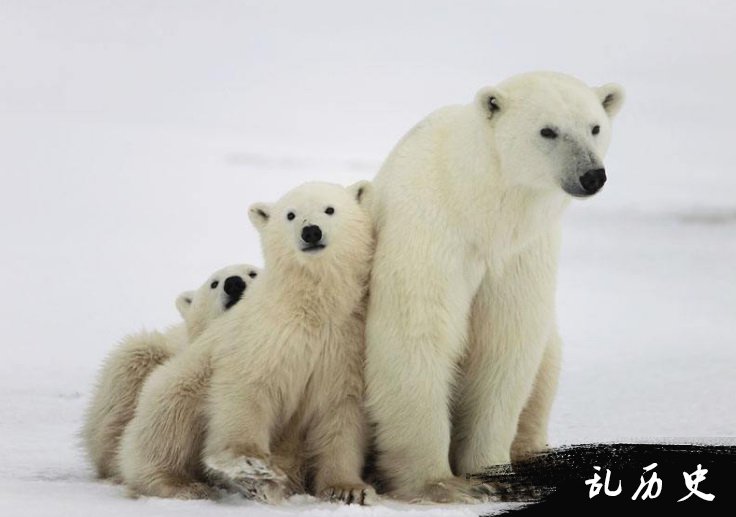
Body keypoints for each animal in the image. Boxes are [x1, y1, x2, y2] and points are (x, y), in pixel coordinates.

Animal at [366, 71, 624, 500]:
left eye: (595, 127)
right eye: (548, 130)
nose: (592, 175)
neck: (481, 208)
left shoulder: (521, 253)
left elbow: (505, 343)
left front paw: (493, 475)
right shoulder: (431, 233)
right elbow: (417, 334)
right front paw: (440, 484)